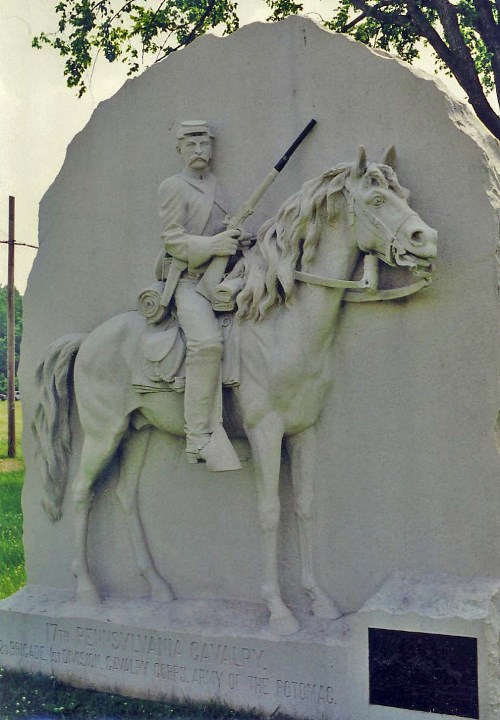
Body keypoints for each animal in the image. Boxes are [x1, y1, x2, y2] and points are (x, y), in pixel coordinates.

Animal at [32, 148, 438, 636]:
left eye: (405, 195)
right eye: (377, 199)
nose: (426, 239)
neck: (283, 324)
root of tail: (86, 340)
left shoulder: (304, 431)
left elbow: (304, 505)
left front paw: (319, 600)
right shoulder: (266, 431)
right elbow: (270, 510)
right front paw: (278, 611)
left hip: (138, 432)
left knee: (125, 496)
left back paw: (158, 588)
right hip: (102, 433)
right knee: (80, 492)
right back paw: (87, 592)